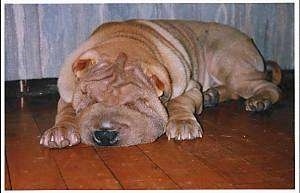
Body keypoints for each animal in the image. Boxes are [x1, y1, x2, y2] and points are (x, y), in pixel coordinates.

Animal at [39, 19, 282, 148]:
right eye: (90, 99)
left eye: (135, 103)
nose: (105, 135)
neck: (125, 40)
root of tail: (248, 39)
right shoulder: (67, 92)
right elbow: (66, 110)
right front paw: (60, 131)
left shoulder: (190, 87)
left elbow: (179, 103)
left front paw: (183, 124)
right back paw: (212, 96)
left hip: (230, 65)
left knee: (268, 86)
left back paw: (259, 101)